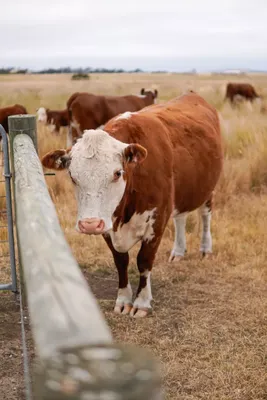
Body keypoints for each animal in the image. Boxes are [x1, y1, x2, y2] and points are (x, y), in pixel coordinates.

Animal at [42, 91, 224, 318]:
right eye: (72, 176)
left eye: (117, 173)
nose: (90, 224)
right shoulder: (108, 224)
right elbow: (121, 262)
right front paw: (123, 300)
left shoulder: (157, 220)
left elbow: (144, 261)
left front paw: (142, 302)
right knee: (181, 218)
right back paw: (178, 251)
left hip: (207, 188)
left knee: (205, 215)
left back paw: (206, 248)